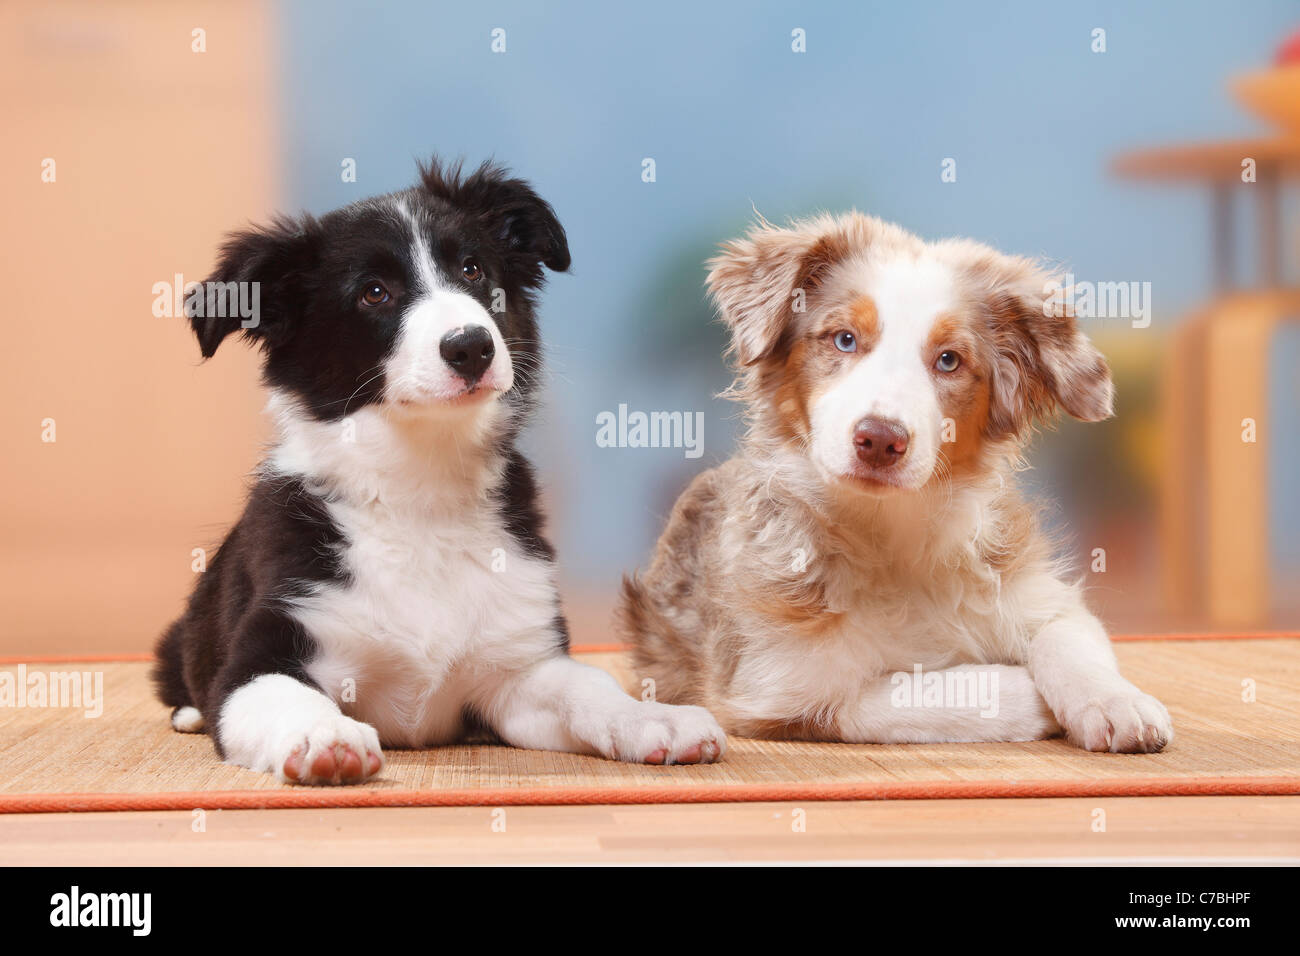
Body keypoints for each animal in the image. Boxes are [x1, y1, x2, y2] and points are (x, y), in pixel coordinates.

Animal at [153, 157, 728, 785]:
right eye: (374, 292)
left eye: (472, 269)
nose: (471, 346)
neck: (420, 487)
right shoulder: (266, 650)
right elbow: (281, 694)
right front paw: (324, 735)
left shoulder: (519, 667)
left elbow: (589, 686)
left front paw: (654, 718)